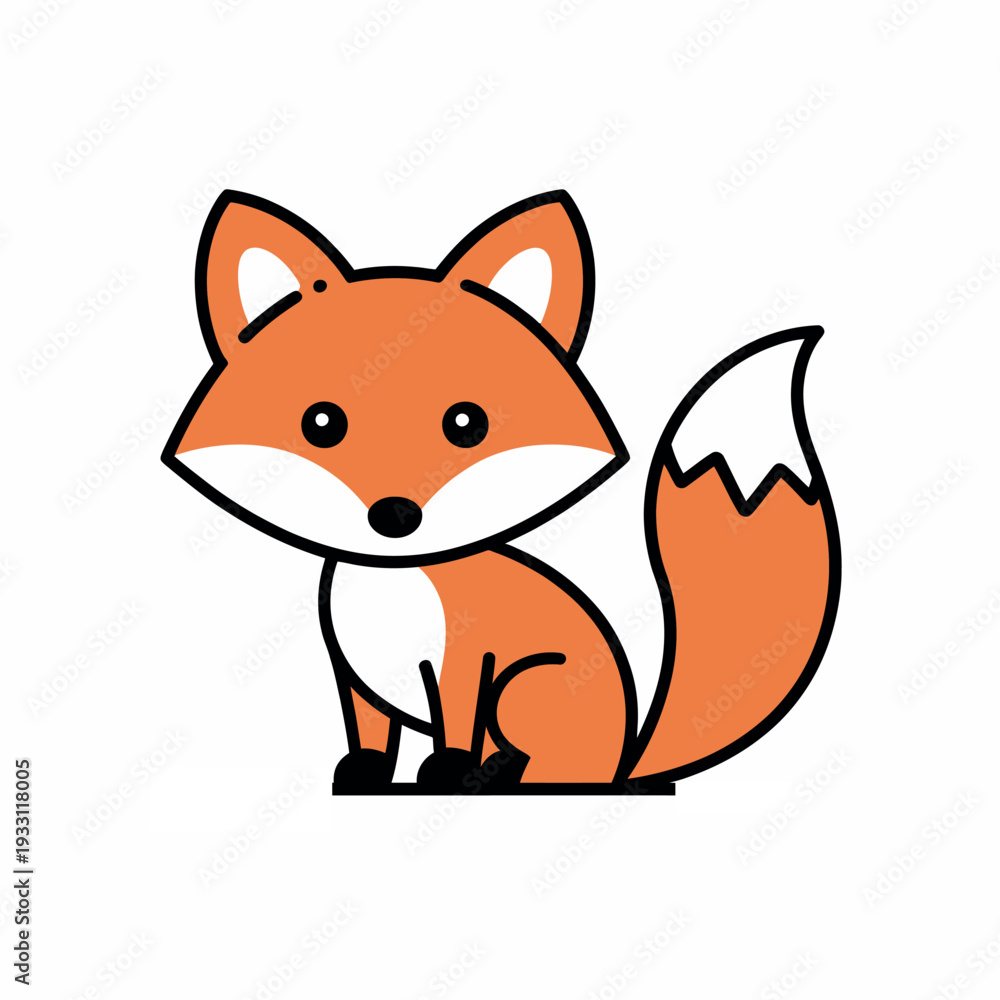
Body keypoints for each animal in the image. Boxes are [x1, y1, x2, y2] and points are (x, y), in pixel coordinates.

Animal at [162, 188, 840, 793]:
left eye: (467, 423)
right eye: (321, 423)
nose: (395, 516)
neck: (396, 582)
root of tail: (629, 758)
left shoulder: (469, 657)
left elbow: (455, 725)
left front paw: (446, 771)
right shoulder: (354, 672)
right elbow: (370, 732)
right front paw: (365, 773)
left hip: (523, 687)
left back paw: (496, 774)